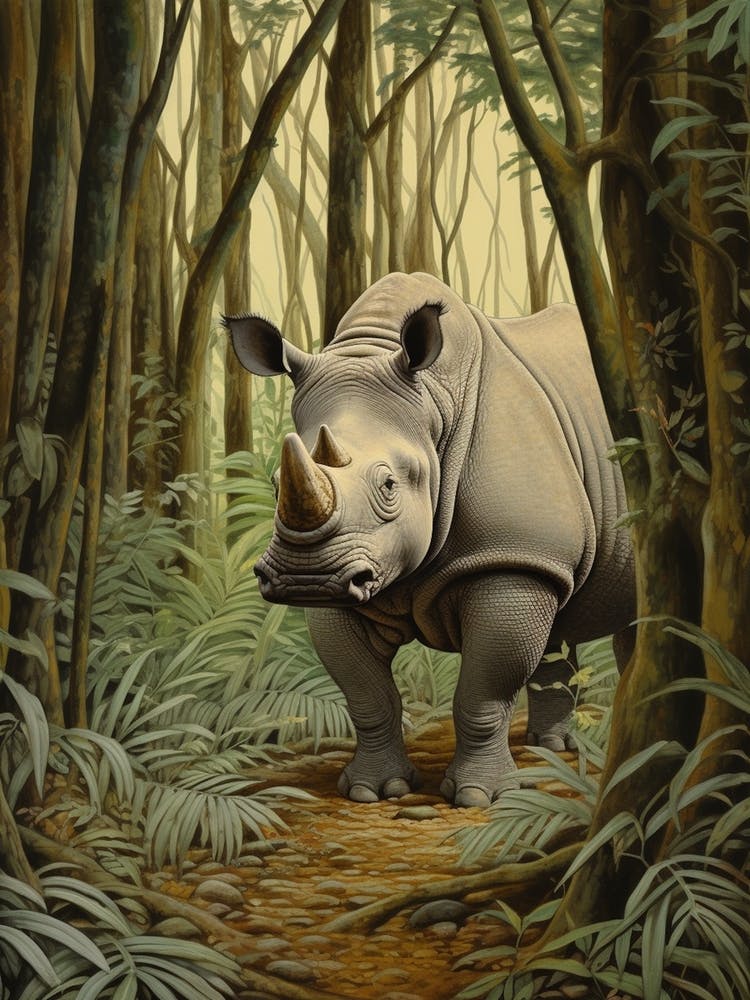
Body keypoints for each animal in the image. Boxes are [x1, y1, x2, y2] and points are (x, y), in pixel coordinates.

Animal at [226, 272, 635, 808]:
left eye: (389, 485)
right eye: (276, 484)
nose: (305, 579)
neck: (434, 405)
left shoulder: (510, 558)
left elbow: (482, 694)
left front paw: (479, 798)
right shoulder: (350, 580)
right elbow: (367, 696)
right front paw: (373, 791)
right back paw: (548, 749)